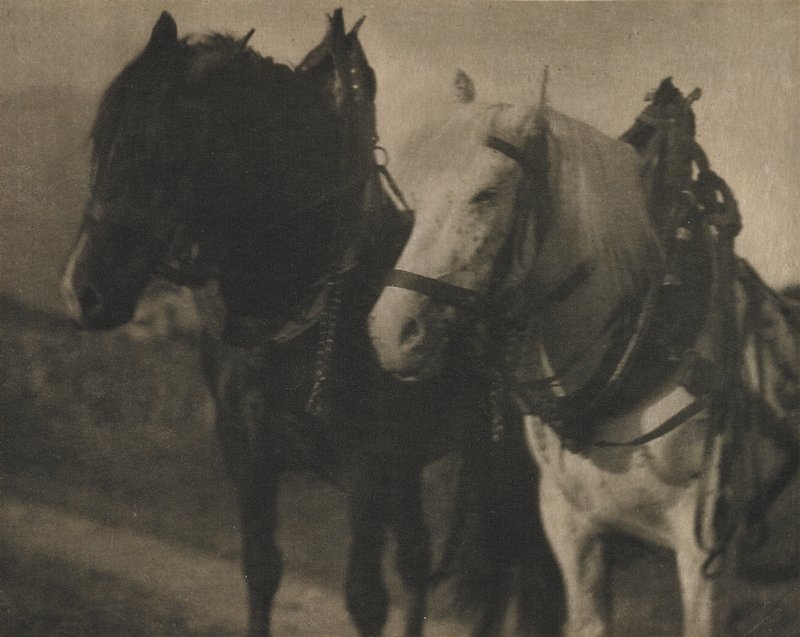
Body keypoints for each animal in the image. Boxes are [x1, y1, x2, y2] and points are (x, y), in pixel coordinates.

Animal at [60, 11, 565, 637]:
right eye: (101, 142)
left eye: (164, 154)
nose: (82, 292)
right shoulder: (252, 458)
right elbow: (260, 571)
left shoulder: (369, 470)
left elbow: (365, 598)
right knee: (425, 558)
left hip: (510, 471)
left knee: (512, 572)